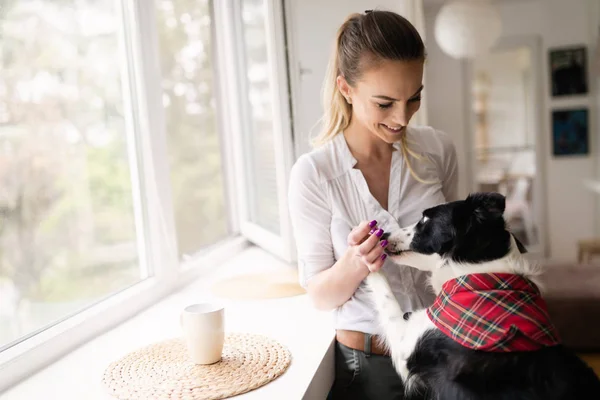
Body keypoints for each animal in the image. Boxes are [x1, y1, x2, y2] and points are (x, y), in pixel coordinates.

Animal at [366, 192, 600, 398]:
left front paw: (365, 255)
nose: (383, 235)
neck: (478, 277)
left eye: (424, 220)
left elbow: (385, 295)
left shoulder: (407, 342)